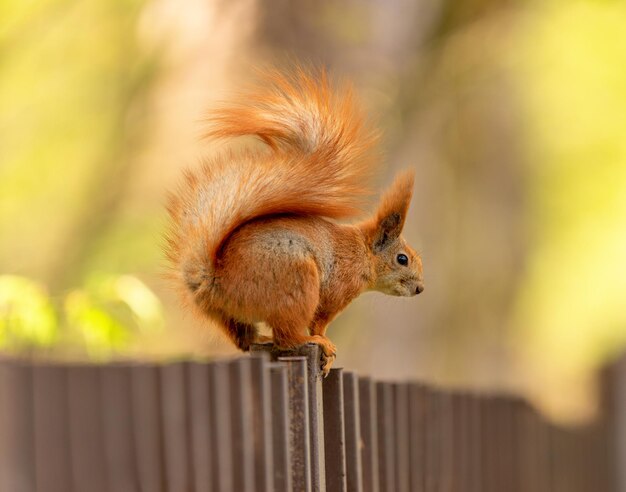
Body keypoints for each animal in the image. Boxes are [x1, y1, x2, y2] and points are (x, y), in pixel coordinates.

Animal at [163, 66, 422, 372]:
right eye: (402, 259)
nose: (420, 288)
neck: (362, 252)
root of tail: (219, 281)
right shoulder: (337, 289)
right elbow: (320, 321)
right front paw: (324, 340)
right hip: (297, 282)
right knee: (287, 336)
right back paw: (312, 342)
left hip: (230, 316)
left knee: (244, 340)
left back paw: (262, 338)